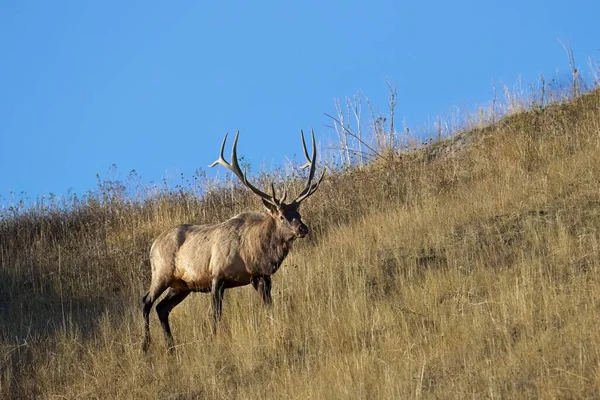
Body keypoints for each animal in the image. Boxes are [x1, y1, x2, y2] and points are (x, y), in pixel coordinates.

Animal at [142, 130, 324, 352]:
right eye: (281, 216)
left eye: (298, 213)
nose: (302, 228)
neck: (253, 253)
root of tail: (153, 245)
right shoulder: (217, 274)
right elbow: (215, 314)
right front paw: (214, 341)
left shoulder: (260, 277)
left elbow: (269, 306)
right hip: (161, 272)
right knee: (146, 302)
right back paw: (145, 346)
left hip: (181, 285)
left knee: (162, 308)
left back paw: (171, 348)